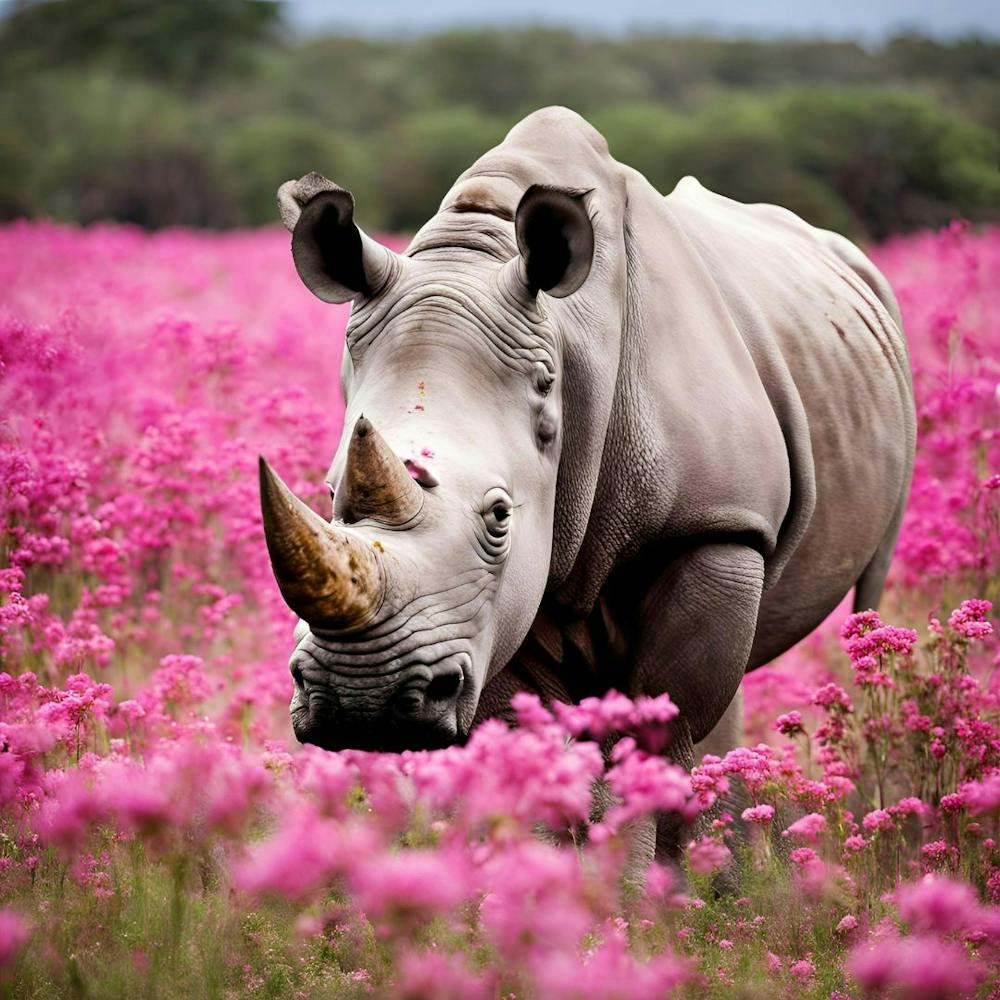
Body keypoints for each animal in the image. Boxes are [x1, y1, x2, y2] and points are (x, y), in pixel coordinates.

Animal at [260, 107, 915, 785]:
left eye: (500, 516)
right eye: (330, 493)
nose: (362, 701)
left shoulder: (721, 523)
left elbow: (663, 726)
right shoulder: (499, 606)